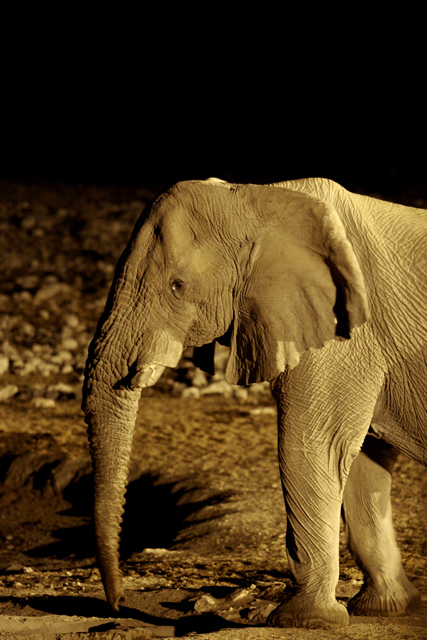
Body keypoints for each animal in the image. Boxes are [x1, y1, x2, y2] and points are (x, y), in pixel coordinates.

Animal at [82, 176, 426, 628]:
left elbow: (312, 447)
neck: (259, 198)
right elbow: (362, 460)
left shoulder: (344, 335)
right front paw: (379, 610)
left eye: (177, 286)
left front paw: (300, 620)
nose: (117, 605)